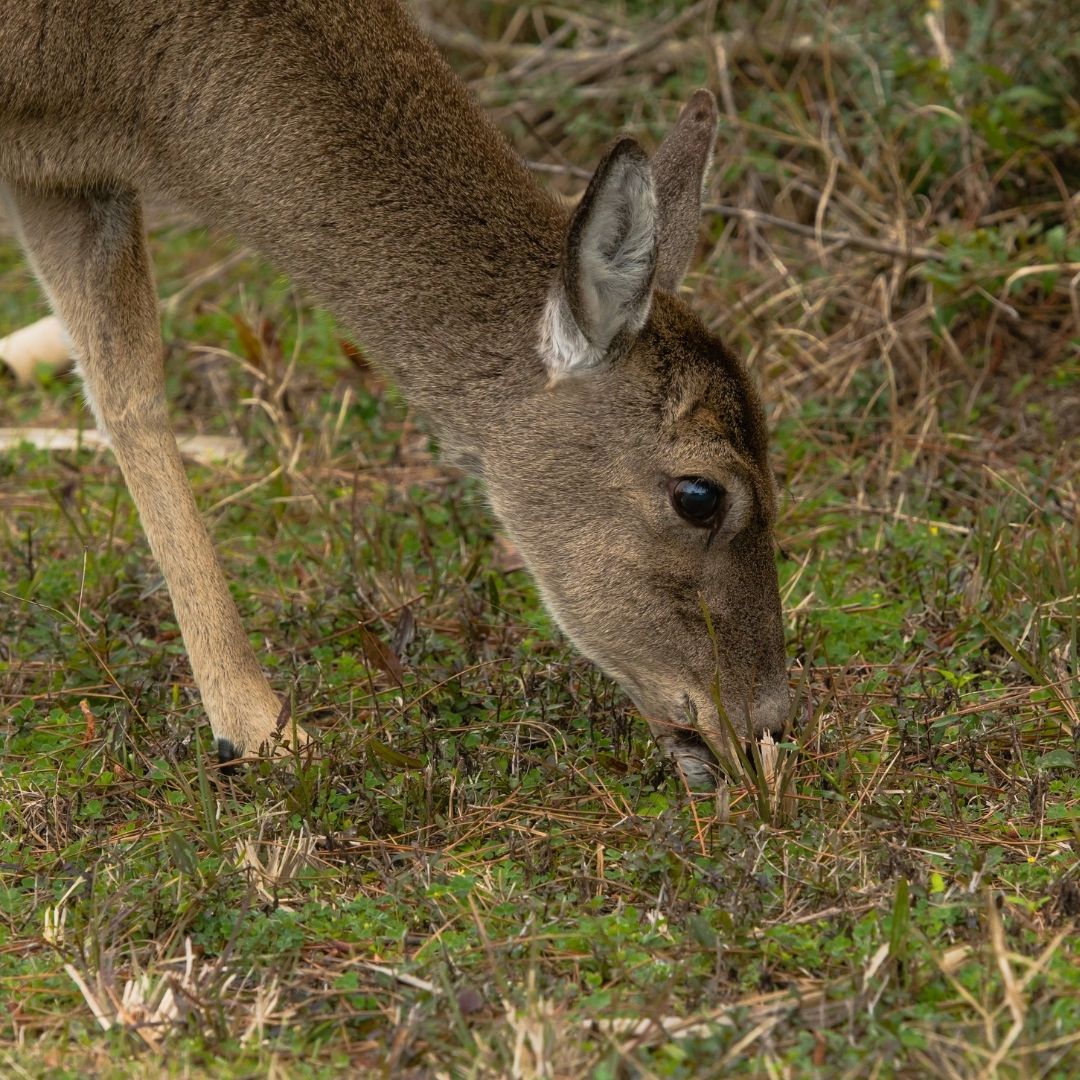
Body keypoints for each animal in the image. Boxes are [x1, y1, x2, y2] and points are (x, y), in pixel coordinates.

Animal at [0, 0, 791, 787]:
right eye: (699, 494)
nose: (767, 725)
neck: (113, 83)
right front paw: (268, 732)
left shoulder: (63, 173)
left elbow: (128, 390)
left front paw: (253, 726)